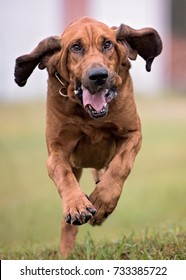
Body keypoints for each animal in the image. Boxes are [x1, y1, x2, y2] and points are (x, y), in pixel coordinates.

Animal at [14, 17, 162, 258]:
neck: (90, 116)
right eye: (76, 47)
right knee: (66, 222)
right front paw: (77, 205)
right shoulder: (56, 152)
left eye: (107, 44)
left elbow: (121, 165)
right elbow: (64, 175)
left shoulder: (132, 134)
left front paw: (102, 201)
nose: (98, 76)